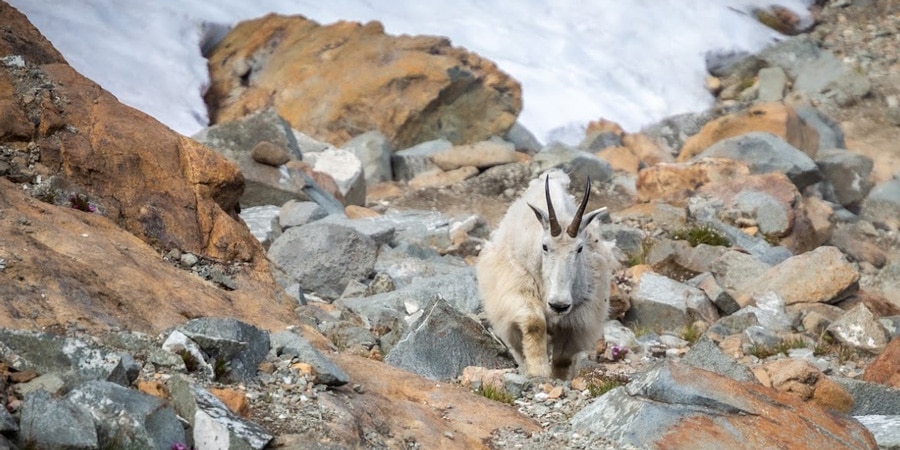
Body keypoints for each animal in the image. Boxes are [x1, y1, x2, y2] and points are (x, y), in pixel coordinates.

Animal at [474, 169, 616, 380]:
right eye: (545, 246)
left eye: (580, 248)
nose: (558, 305)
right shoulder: (518, 289)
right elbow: (534, 324)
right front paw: (538, 371)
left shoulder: (582, 311)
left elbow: (564, 354)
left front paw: (559, 378)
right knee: (517, 346)